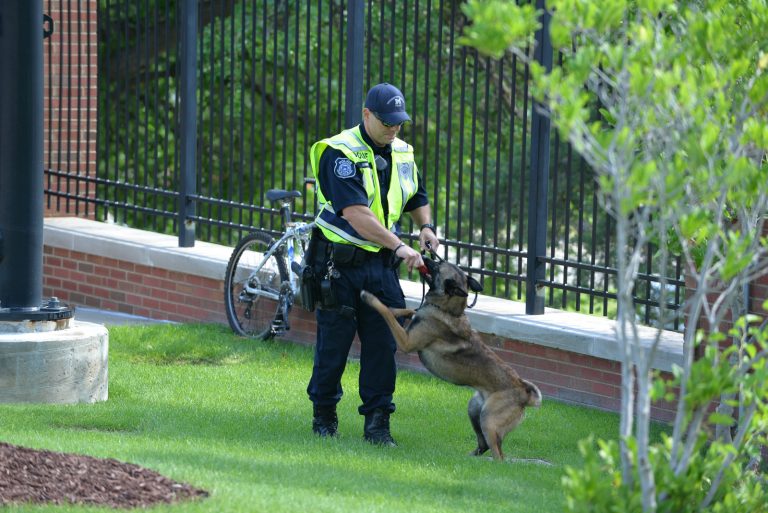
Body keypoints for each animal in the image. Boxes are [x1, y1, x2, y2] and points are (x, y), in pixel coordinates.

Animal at [360, 256, 540, 460]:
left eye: (437, 266)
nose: (424, 256)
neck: (447, 310)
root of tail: (524, 391)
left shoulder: (406, 341)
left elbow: (386, 312)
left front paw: (370, 298)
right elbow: (402, 310)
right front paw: (398, 308)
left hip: (488, 419)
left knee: (498, 455)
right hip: (474, 409)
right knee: (483, 444)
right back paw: (468, 459)